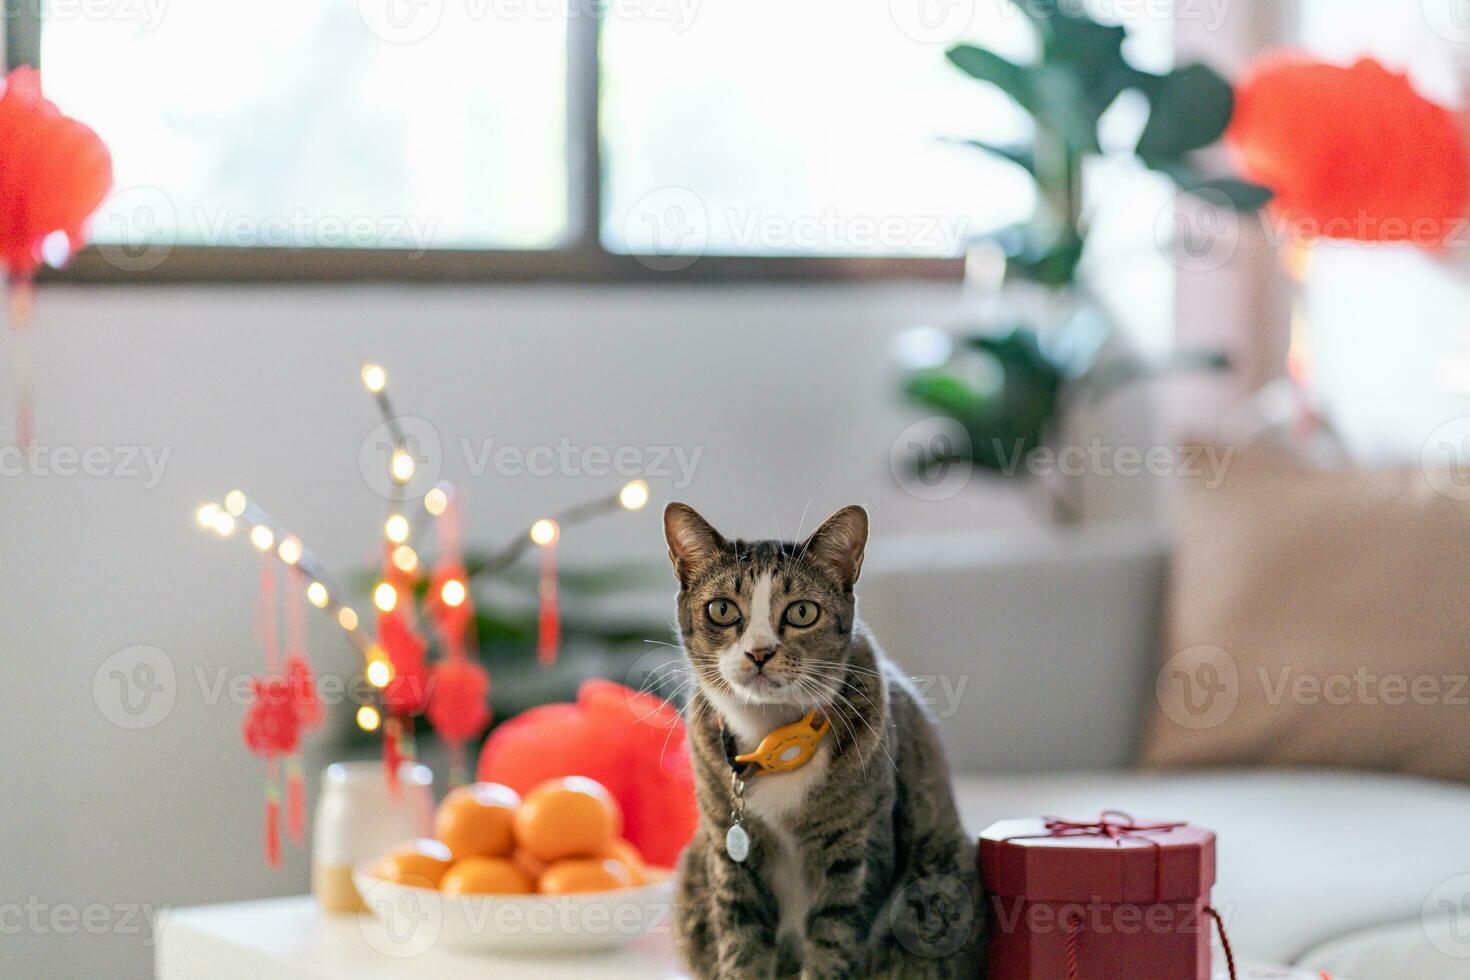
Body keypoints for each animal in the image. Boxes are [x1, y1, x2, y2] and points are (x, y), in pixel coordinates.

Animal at [661, 505, 981, 980]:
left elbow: (834, 940)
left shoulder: (855, 850)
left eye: (802, 612)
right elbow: (740, 940)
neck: (773, 737)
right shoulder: (728, 852)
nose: (759, 652)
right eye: (721, 609)